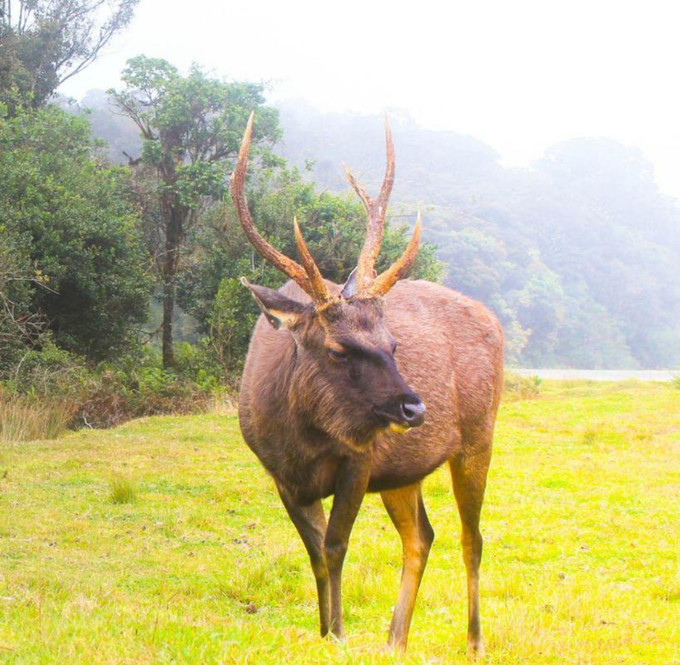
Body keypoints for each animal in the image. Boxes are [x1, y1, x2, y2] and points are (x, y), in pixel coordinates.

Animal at [231, 111, 502, 656]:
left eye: (392, 343)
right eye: (338, 348)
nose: (414, 409)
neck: (301, 437)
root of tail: (497, 323)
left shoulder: (360, 459)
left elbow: (336, 545)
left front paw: (337, 634)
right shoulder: (280, 474)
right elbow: (314, 551)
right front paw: (323, 630)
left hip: (478, 437)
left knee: (472, 537)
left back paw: (474, 642)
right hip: (404, 471)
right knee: (422, 535)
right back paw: (396, 639)